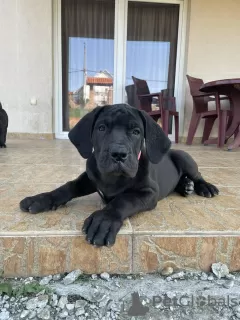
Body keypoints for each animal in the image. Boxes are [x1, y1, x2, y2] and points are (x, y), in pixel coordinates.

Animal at [20, 104, 218, 246]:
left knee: (197, 175)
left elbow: (123, 200)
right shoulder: (89, 178)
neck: (114, 178)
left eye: (136, 132)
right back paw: (186, 186)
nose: (118, 154)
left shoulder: (149, 193)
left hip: (184, 157)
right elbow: (67, 186)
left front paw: (104, 220)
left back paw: (204, 187)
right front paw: (41, 198)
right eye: (101, 128)